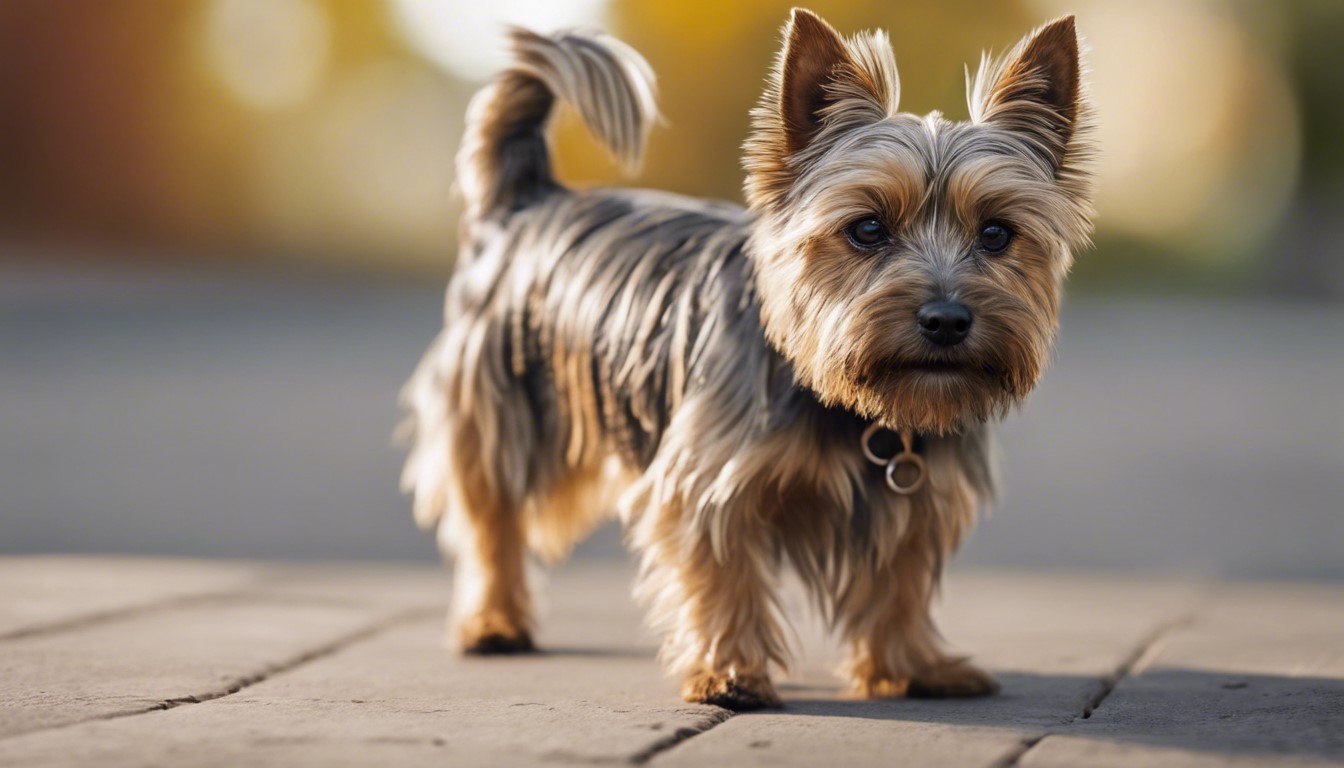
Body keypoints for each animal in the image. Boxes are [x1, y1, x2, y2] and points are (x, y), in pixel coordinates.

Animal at [397, 8, 1091, 710]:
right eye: (867, 228)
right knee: (490, 519)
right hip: (495, 409)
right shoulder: (708, 478)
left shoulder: (918, 499)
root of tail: (528, 199)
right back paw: (493, 621)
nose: (946, 320)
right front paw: (728, 673)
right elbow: (722, 574)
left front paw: (913, 667)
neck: (849, 403)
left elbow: (900, 581)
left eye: (998, 233)